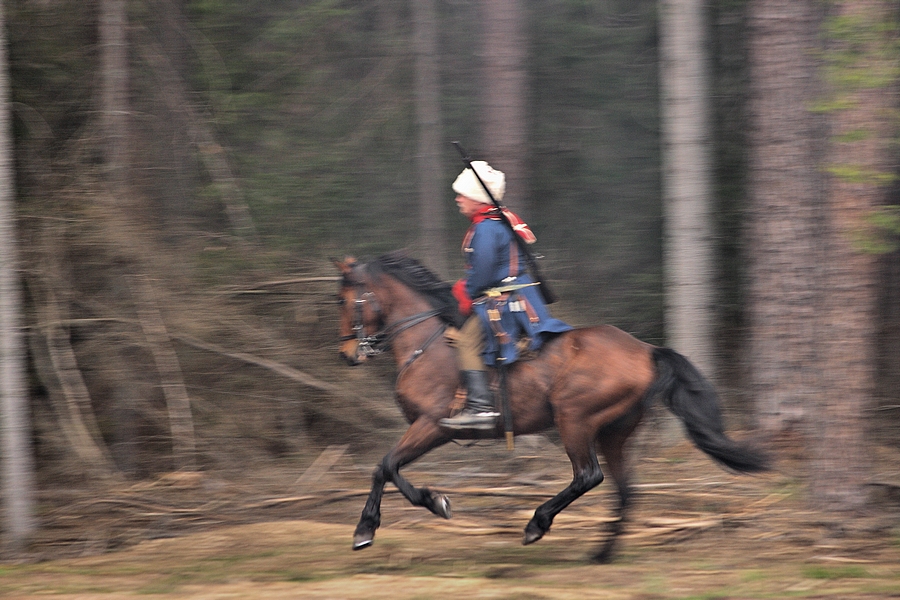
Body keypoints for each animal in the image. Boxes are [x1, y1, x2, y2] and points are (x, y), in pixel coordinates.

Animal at [336, 251, 768, 560]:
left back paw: (537, 523)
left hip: (573, 419)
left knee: (588, 476)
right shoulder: (431, 430)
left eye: (344, 299)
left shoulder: (432, 425)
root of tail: (645, 350)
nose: (346, 354)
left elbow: (385, 466)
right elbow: (387, 469)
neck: (426, 341)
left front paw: (380, 523)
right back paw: (602, 553)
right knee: (625, 489)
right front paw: (397, 515)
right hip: (613, 433)